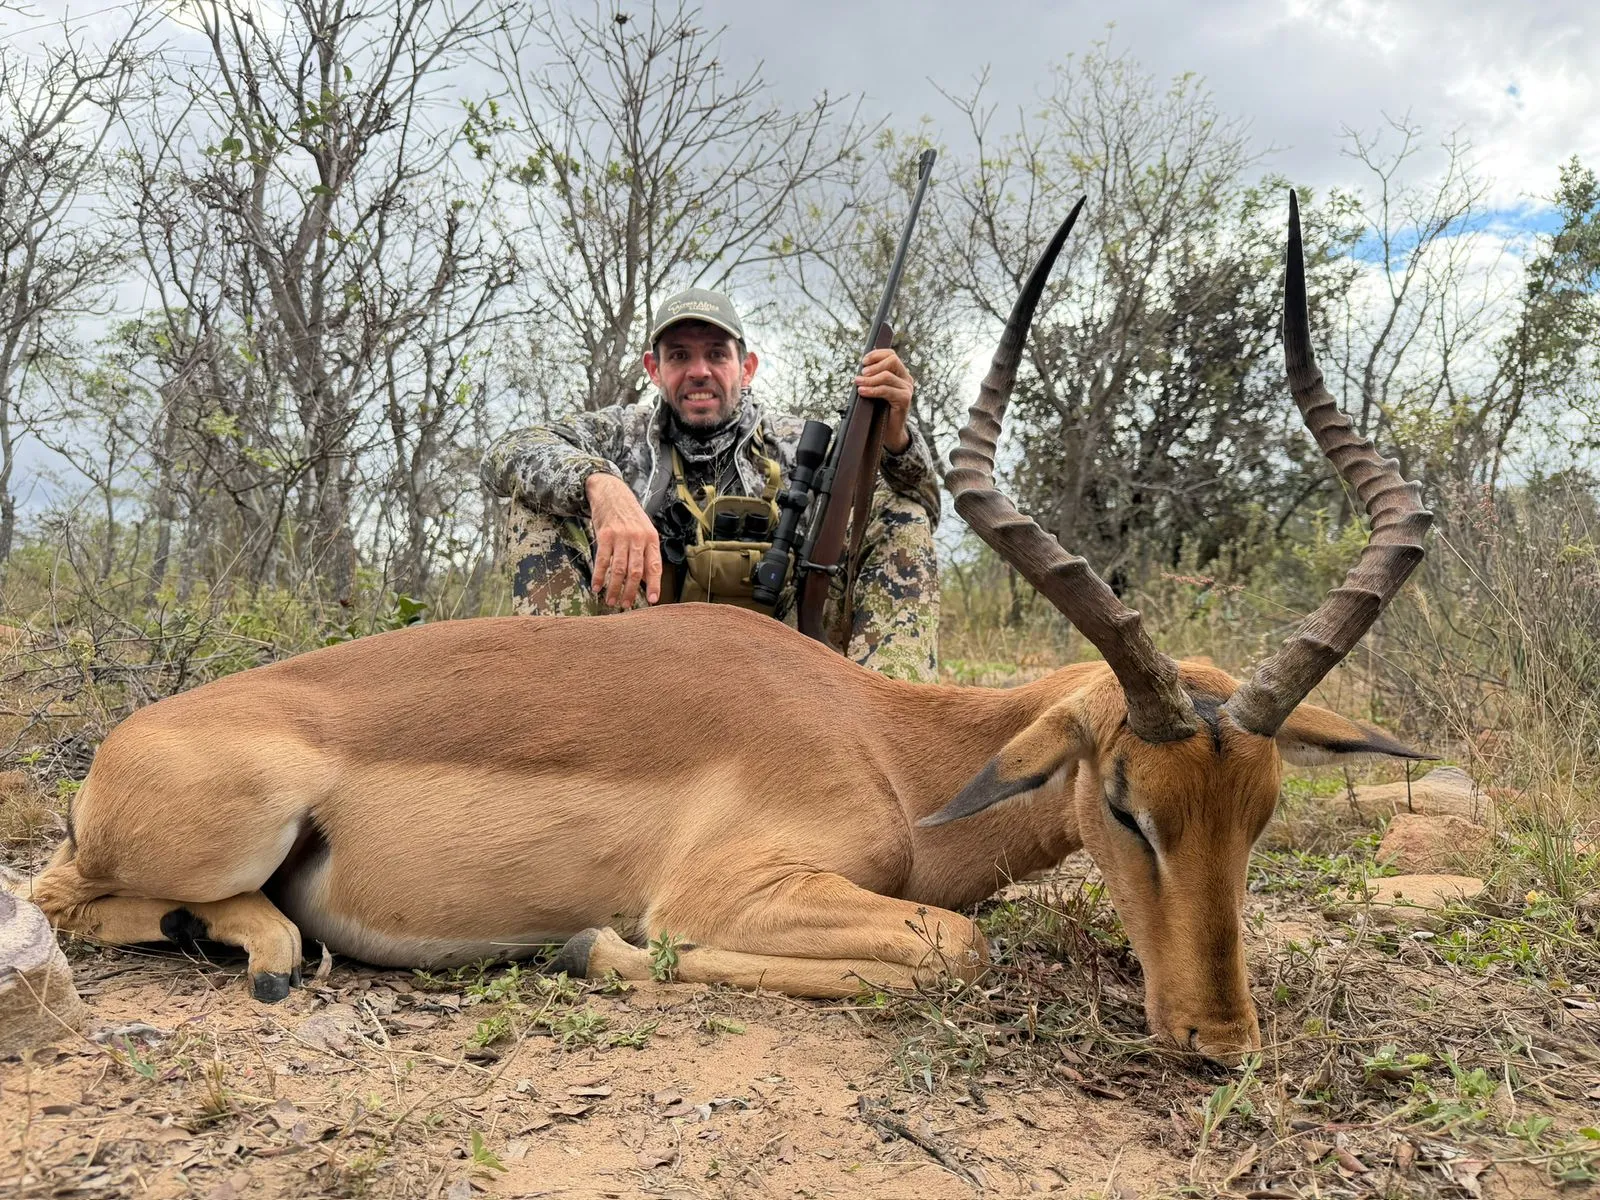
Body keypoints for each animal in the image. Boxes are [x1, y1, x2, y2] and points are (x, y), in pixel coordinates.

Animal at [16, 195, 1428, 1062]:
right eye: (1127, 806)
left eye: (1262, 812)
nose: (1217, 1041)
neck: (883, 746)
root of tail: (123, 745)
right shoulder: (731, 892)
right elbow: (954, 946)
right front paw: (591, 947)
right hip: (224, 830)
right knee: (63, 895)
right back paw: (255, 951)